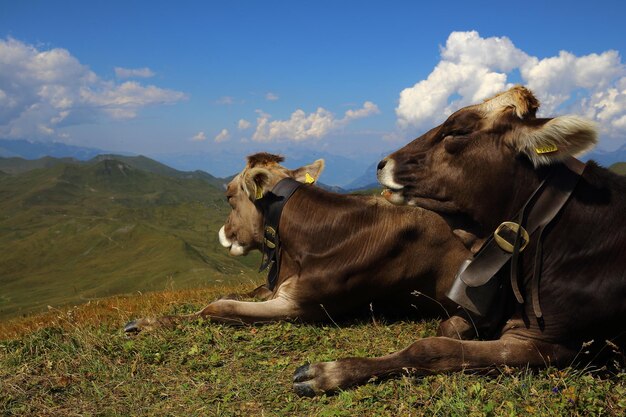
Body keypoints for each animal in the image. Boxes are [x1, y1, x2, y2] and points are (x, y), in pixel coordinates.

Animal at [124, 154, 470, 334]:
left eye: (229, 196)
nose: (223, 232)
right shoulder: (278, 288)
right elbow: (234, 294)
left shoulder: (299, 305)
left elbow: (219, 306)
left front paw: (149, 322)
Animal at [292, 85, 624, 394]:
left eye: (458, 131)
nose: (382, 163)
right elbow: (450, 327)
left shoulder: (548, 342)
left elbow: (431, 347)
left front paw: (328, 372)